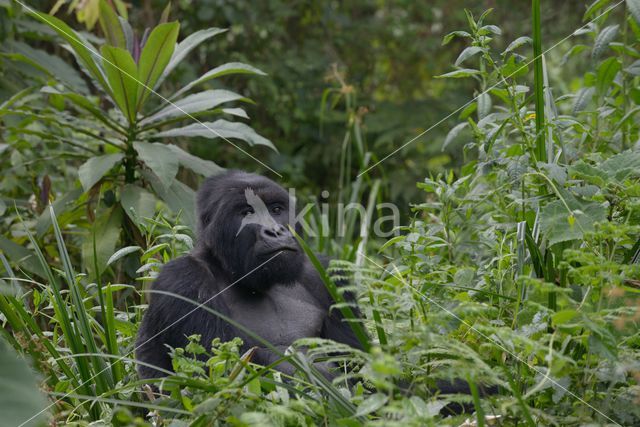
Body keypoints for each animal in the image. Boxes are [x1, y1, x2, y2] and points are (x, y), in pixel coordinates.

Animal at [134, 169, 360, 380]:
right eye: (248, 212)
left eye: (276, 210)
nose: (275, 230)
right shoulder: (182, 277)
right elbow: (221, 370)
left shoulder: (324, 274)